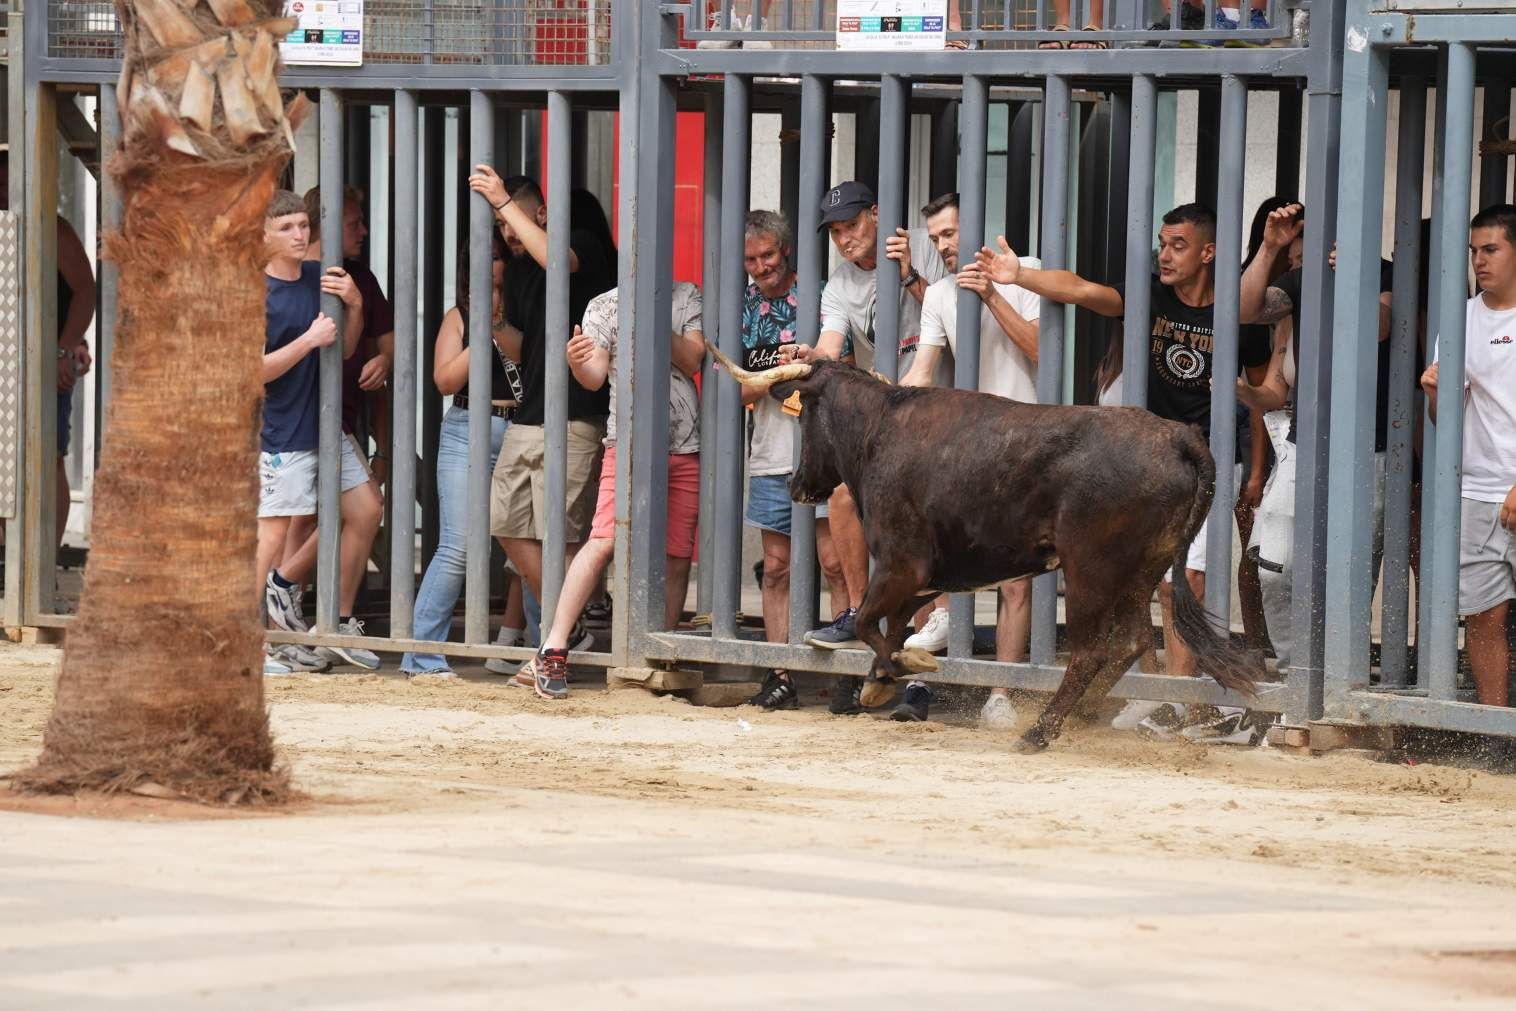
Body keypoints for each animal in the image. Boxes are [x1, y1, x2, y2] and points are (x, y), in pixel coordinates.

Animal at [703, 345, 1261, 751]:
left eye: (803, 417)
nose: (796, 485)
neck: (878, 430)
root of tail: (1177, 437)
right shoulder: (922, 578)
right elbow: (888, 626)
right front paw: (883, 678)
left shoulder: (900, 565)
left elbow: (866, 622)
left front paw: (906, 668)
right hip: (1140, 572)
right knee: (1132, 642)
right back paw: (1075, 718)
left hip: (1089, 571)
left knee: (1091, 650)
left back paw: (1039, 731)